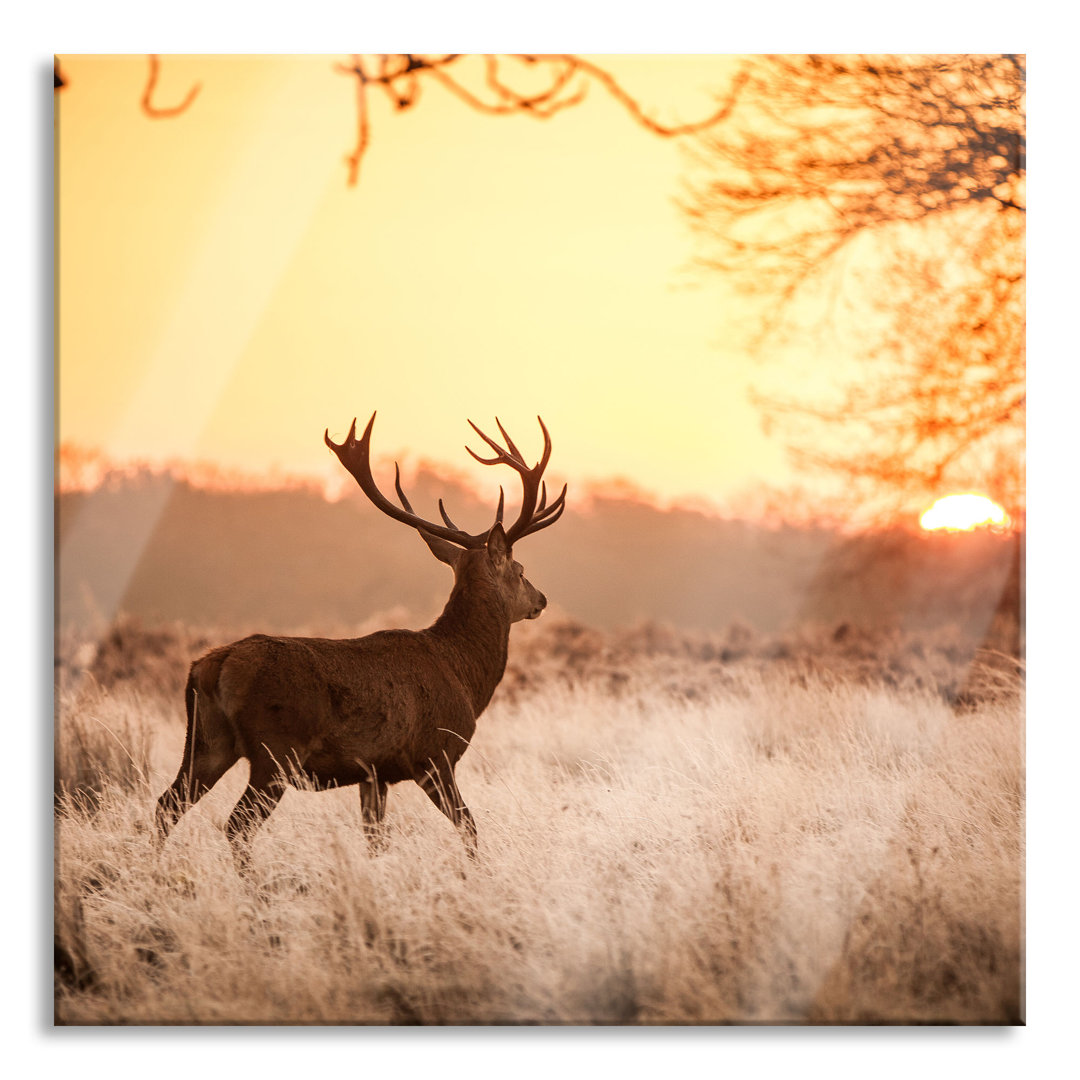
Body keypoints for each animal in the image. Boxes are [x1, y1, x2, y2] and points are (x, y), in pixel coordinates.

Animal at [157, 408, 574, 864]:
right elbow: (469, 828)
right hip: (276, 751)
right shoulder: (434, 755)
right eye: (520, 570)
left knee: (167, 804)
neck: (463, 673)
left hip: (206, 742)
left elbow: (375, 839)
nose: (542, 599)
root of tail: (212, 666)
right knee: (236, 825)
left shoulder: (374, 773)